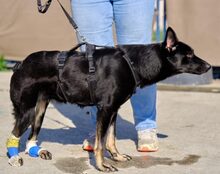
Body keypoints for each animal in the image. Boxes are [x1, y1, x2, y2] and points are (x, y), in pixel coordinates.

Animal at [6, 27, 210, 171]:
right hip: (27, 112)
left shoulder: (113, 110)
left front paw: (117, 157)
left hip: (40, 110)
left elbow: (111, 139)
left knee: (31, 136)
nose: (209, 66)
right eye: (189, 54)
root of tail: (20, 63)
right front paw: (102, 165)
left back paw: (37, 151)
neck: (133, 64)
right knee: (14, 135)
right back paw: (14, 157)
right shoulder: (105, 110)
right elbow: (100, 144)